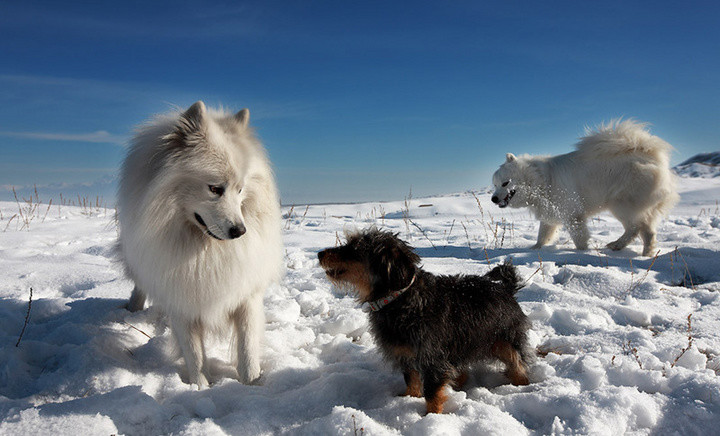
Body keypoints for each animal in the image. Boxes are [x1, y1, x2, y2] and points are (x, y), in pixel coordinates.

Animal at [118, 101, 284, 384]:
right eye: (215, 189)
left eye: (240, 189)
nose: (240, 231)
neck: (204, 250)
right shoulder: (181, 300)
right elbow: (194, 353)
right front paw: (200, 386)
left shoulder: (246, 294)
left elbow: (248, 347)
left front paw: (252, 384)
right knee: (139, 283)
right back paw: (132, 309)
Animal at [318, 228, 532, 416]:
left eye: (354, 247)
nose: (319, 253)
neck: (401, 298)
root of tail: (507, 289)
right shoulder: (406, 354)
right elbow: (412, 381)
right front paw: (408, 399)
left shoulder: (432, 358)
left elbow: (432, 393)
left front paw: (431, 417)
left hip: (505, 341)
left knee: (518, 364)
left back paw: (521, 385)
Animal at [492, 119, 676, 255]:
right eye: (494, 185)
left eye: (505, 183)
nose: (493, 199)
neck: (541, 180)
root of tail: (650, 154)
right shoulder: (550, 212)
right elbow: (542, 235)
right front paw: (535, 249)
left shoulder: (572, 214)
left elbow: (579, 237)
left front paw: (582, 252)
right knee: (646, 231)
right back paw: (642, 253)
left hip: (621, 203)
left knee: (635, 228)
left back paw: (621, 246)